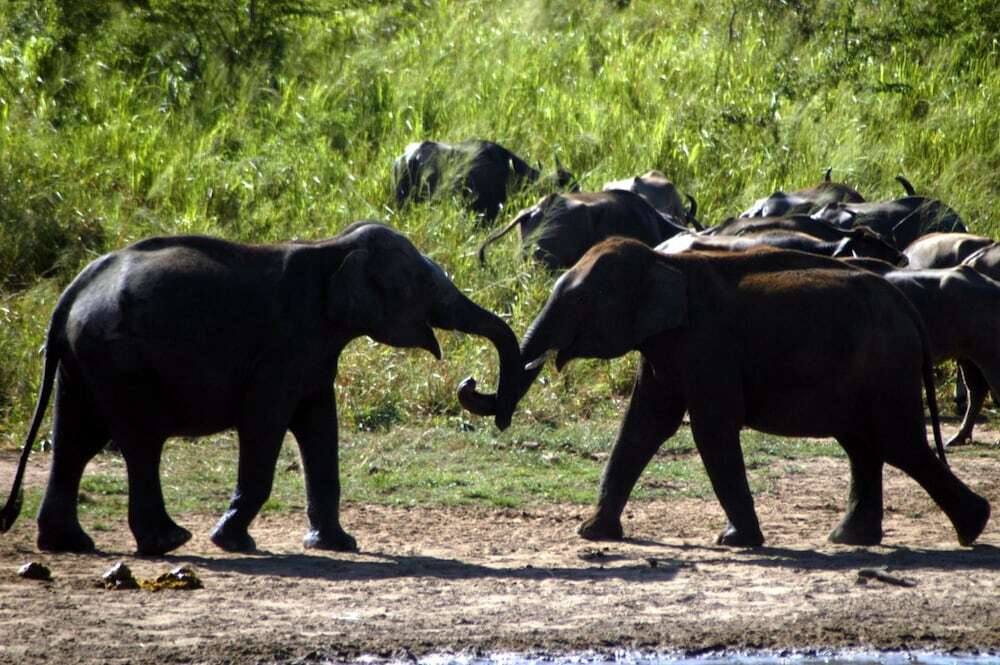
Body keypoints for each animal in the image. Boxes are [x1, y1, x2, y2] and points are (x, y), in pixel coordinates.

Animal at [0, 222, 522, 555]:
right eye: (424, 285)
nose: (473, 384)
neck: (333, 246)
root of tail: (72, 292)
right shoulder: (283, 349)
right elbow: (266, 424)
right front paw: (231, 541)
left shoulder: (313, 351)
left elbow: (319, 428)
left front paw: (337, 545)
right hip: (118, 359)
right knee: (138, 442)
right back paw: (170, 542)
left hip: (83, 361)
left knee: (75, 441)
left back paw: (69, 544)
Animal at [458, 238, 990, 547]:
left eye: (582, 300)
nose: (471, 383)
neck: (665, 262)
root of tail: (907, 307)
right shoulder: (667, 347)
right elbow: (642, 427)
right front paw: (592, 534)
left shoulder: (705, 345)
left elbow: (710, 430)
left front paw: (735, 541)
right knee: (864, 446)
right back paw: (851, 539)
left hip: (885, 368)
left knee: (897, 443)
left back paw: (973, 527)